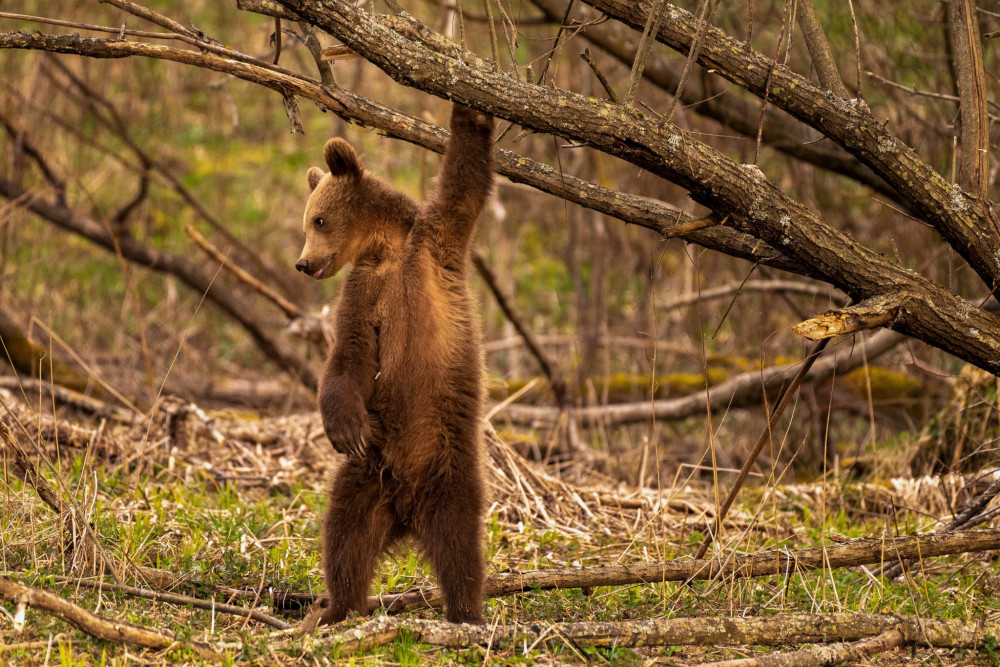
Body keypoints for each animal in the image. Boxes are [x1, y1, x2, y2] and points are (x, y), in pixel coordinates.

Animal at [292, 104, 496, 628]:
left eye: (318, 218)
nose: (303, 264)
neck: (388, 247)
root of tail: (406, 511)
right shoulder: (365, 293)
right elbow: (349, 357)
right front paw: (344, 429)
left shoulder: (436, 246)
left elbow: (465, 182)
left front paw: (470, 107)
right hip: (367, 476)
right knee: (344, 537)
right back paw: (336, 607)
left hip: (450, 469)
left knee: (460, 548)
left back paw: (466, 613)